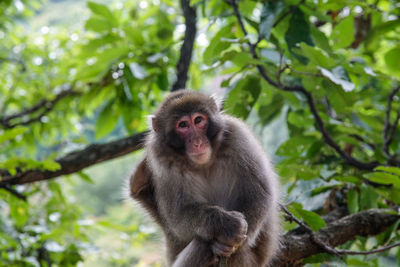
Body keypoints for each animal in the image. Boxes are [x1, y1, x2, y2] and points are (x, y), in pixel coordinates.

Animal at [130, 91, 280, 266]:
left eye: (198, 120)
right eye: (183, 125)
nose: (197, 142)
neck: (204, 163)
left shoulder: (238, 135)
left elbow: (259, 194)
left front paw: (233, 239)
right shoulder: (160, 157)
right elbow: (178, 217)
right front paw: (226, 225)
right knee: (201, 245)